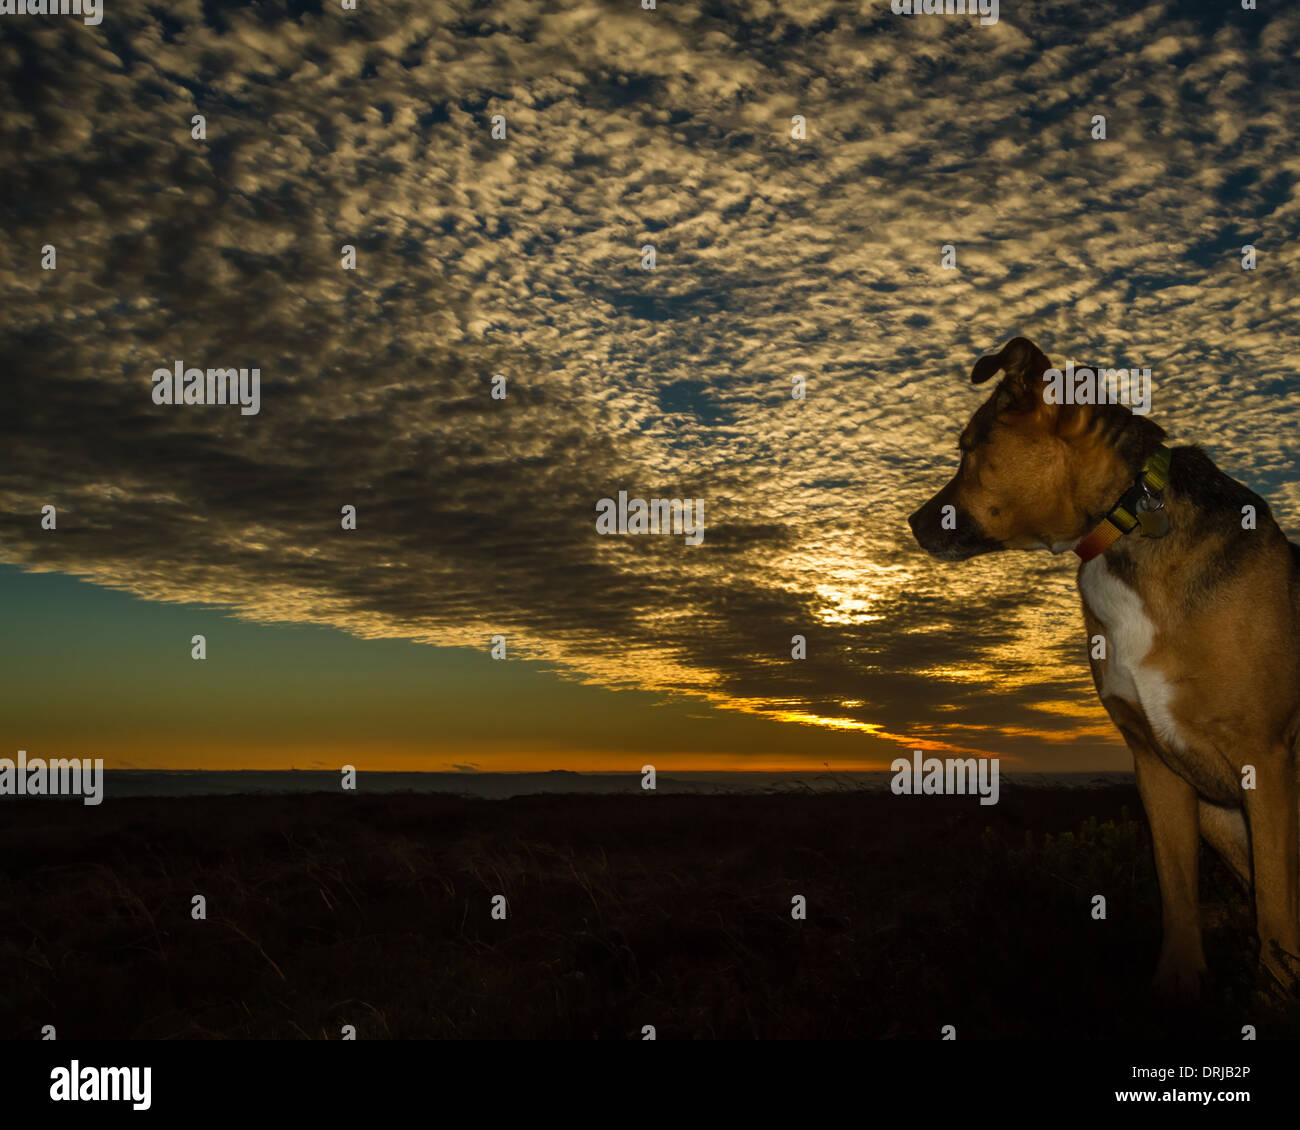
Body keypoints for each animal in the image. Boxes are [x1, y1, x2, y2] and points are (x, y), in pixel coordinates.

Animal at [909, 332, 1294, 998]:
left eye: (969, 449)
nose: (912, 523)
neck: (1123, 522)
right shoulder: (1156, 766)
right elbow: (1178, 895)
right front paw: (1177, 987)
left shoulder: (1265, 760)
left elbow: (1275, 905)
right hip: (1217, 819)